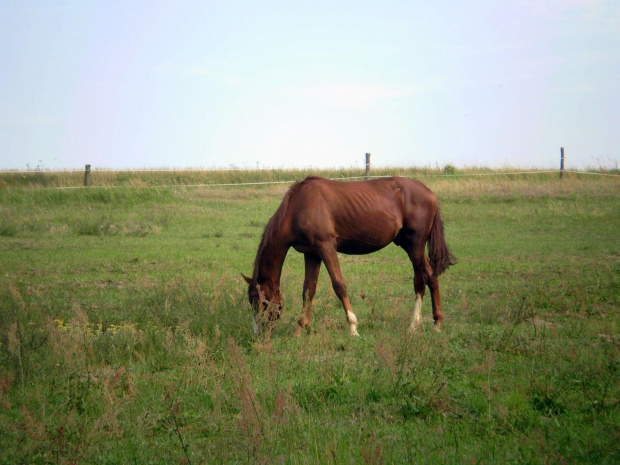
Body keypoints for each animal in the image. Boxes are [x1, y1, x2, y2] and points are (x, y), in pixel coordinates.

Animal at [242, 176, 456, 336]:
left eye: (257, 301)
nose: (258, 333)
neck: (299, 207)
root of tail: (430, 193)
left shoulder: (326, 247)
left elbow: (339, 285)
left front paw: (353, 328)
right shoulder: (312, 254)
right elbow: (308, 290)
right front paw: (299, 330)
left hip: (415, 244)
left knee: (420, 278)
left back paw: (413, 325)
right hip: (407, 243)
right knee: (431, 275)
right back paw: (437, 323)